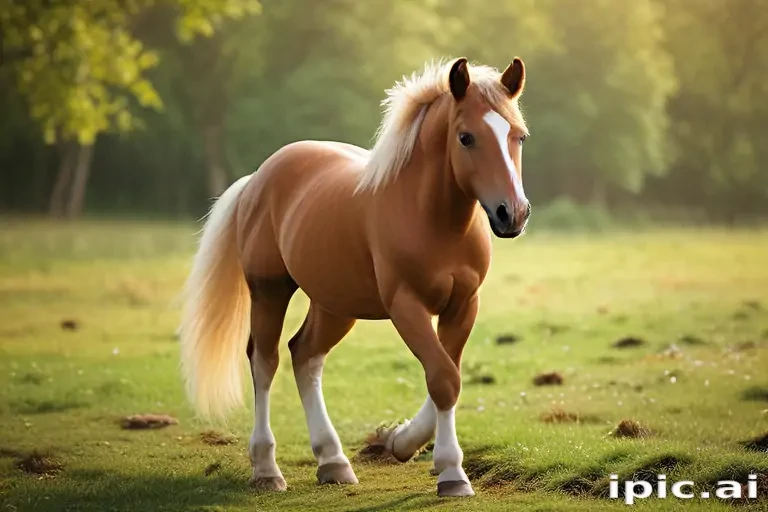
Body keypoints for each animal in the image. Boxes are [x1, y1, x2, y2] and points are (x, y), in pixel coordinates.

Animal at [179, 56, 530, 498]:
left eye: (518, 136)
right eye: (466, 137)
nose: (512, 213)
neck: (433, 218)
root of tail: (257, 178)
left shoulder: (463, 304)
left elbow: (447, 376)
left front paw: (399, 442)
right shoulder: (405, 305)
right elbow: (443, 378)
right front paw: (451, 472)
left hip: (334, 306)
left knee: (304, 355)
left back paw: (333, 461)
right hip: (268, 291)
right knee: (265, 361)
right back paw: (266, 469)